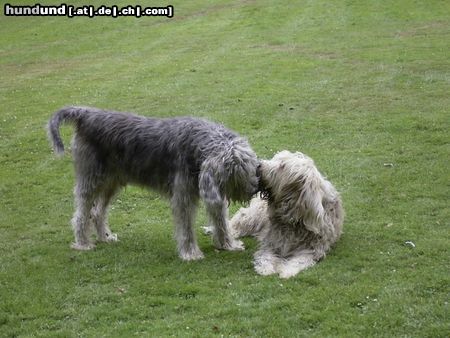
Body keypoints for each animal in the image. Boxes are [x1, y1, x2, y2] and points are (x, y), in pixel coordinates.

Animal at [47, 107, 258, 260]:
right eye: (236, 170)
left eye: (252, 165)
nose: (255, 189)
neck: (199, 145)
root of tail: (86, 114)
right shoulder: (183, 198)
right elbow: (186, 228)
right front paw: (191, 253)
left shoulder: (214, 195)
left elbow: (220, 221)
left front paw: (228, 245)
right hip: (90, 181)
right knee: (82, 214)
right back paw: (83, 243)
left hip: (111, 184)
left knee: (97, 212)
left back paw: (105, 238)